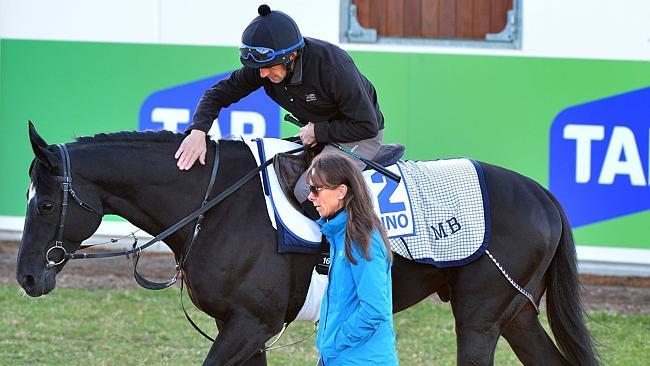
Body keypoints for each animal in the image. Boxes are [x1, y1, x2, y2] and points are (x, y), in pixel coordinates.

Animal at [17, 124, 596, 364]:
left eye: (44, 205)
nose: (25, 276)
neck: (218, 204)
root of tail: (542, 195)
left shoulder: (251, 325)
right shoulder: (239, 329)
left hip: (479, 320)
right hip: (514, 315)